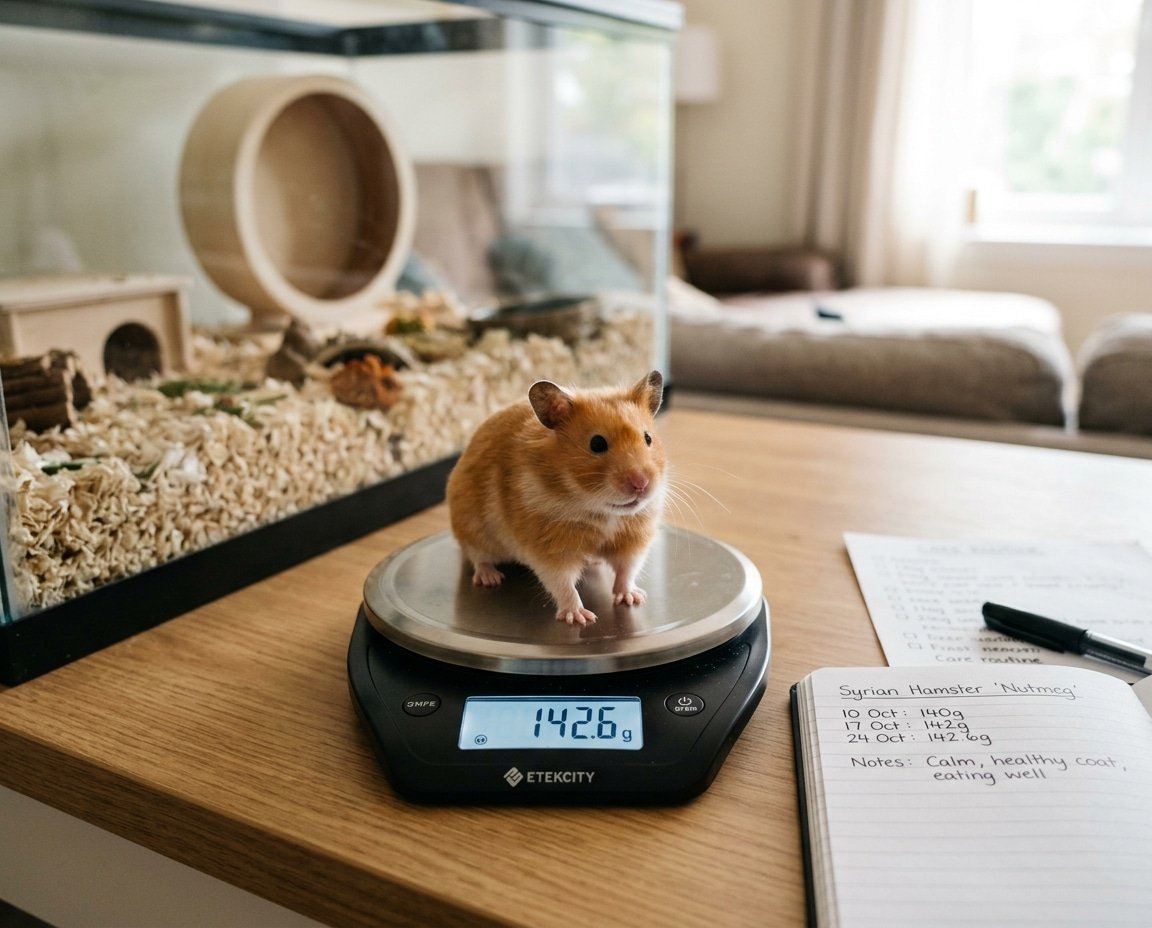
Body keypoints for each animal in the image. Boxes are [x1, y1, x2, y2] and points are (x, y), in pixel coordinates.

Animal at [447, 370, 666, 626]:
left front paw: (633, 598)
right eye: (597, 444)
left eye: (648, 438)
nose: (641, 484)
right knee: (477, 556)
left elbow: (627, 570)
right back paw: (490, 578)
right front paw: (580, 618)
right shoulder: (549, 548)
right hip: (472, 527)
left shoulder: (633, 539)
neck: (601, 510)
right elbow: (562, 584)